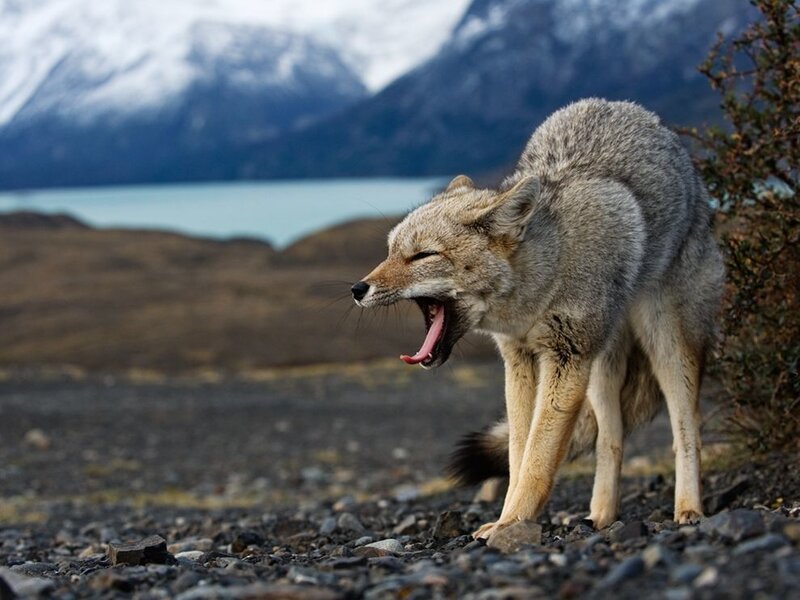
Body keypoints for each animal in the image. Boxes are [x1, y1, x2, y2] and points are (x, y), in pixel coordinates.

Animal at [351, 99, 724, 540]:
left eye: (423, 255)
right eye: (391, 252)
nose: (357, 289)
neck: (539, 286)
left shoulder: (567, 358)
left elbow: (538, 458)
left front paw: (512, 522)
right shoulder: (521, 362)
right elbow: (518, 454)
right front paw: (505, 519)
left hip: (666, 346)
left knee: (688, 429)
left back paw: (688, 508)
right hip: (601, 368)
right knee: (610, 439)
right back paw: (601, 515)